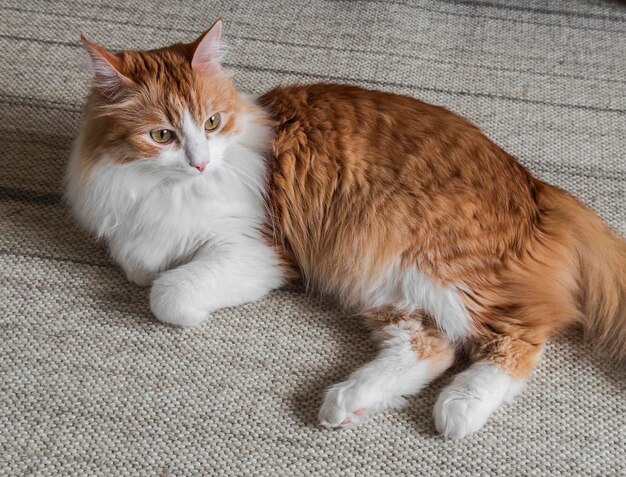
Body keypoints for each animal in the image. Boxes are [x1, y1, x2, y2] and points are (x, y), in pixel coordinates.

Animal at [64, 21, 624, 438]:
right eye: (162, 135)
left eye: (212, 123)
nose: (200, 163)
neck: (166, 190)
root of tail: (539, 188)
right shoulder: (131, 236)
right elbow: (140, 265)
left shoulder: (262, 249)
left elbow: (169, 293)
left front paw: (179, 294)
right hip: (384, 281)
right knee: (431, 348)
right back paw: (346, 402)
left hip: (436, 268)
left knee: (517, 338)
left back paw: (457, 410)